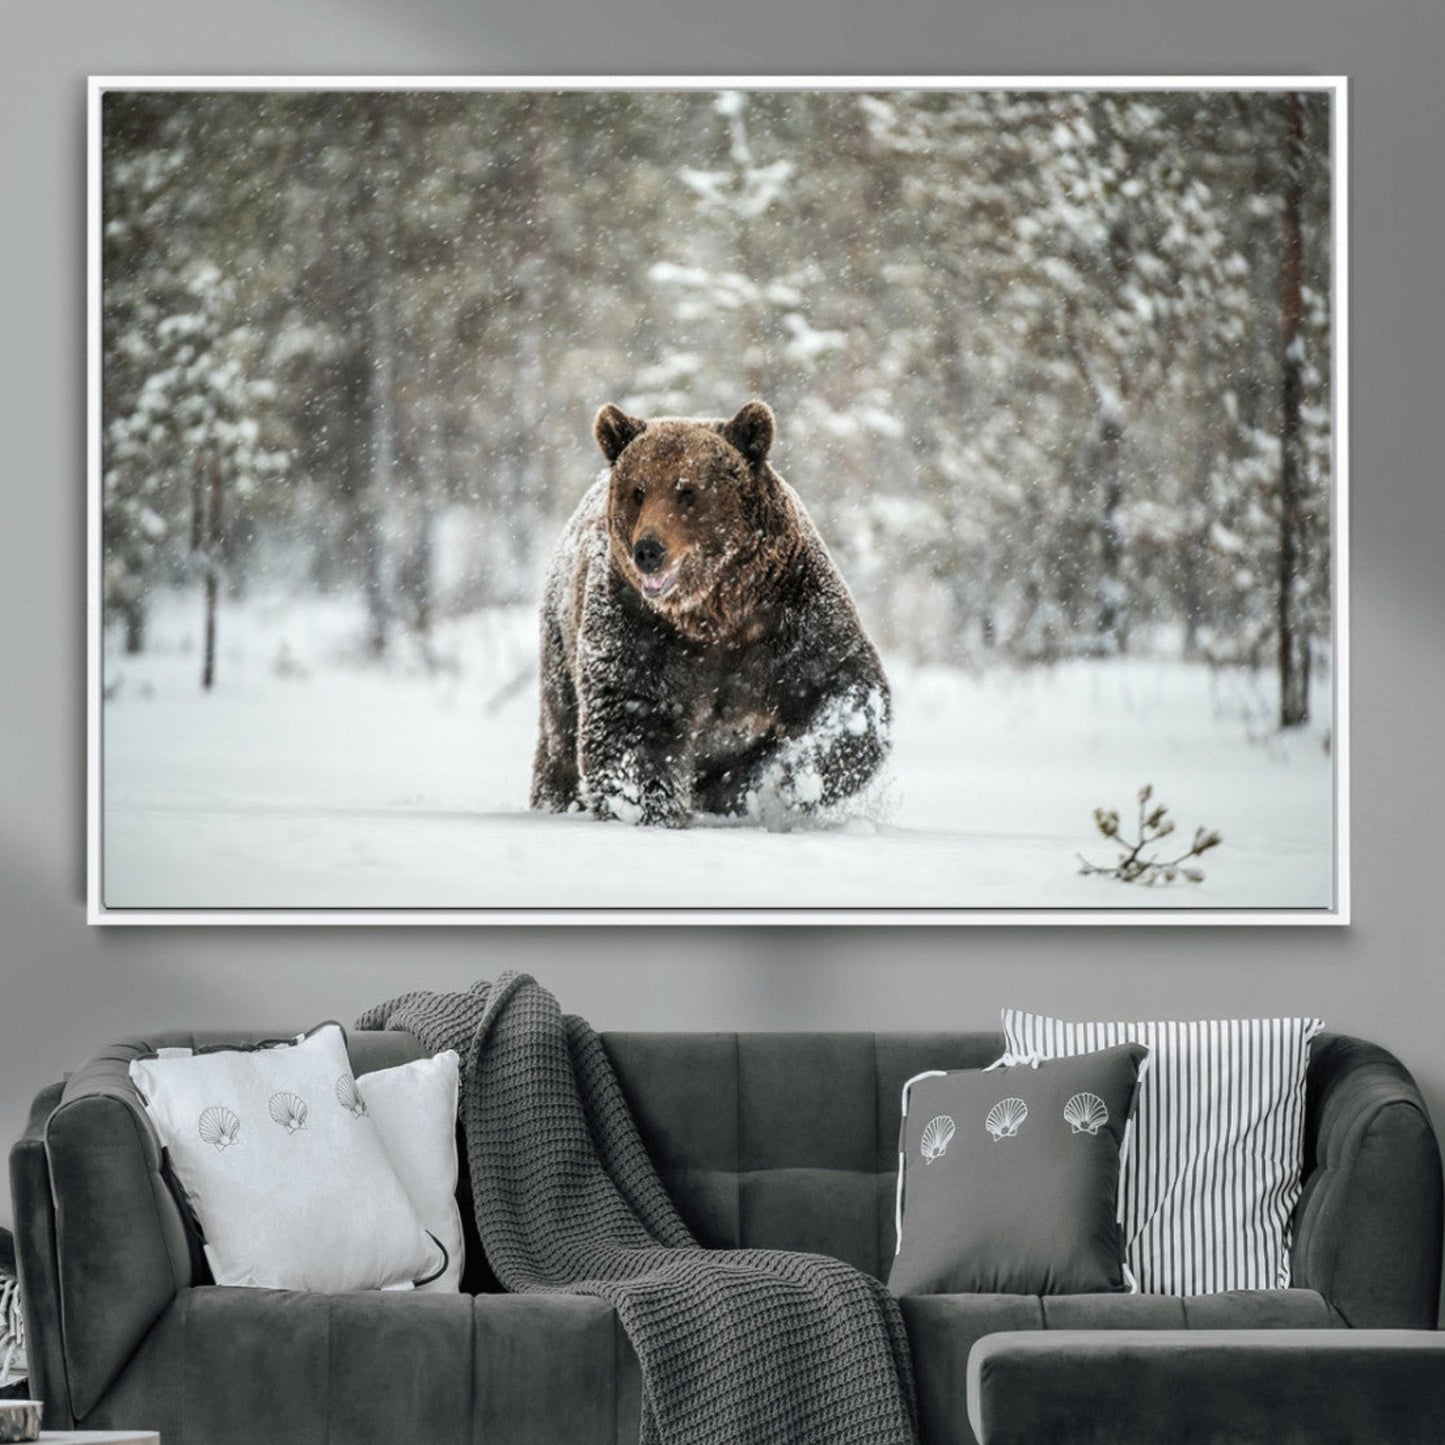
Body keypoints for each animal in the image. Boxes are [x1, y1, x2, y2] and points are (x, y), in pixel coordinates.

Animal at [530, 400, 891, 827]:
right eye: (638, 490)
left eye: (687, 491)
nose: (648, 550)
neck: (715, 611)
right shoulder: (639, 627)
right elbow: (631, 720)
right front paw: (650, 810)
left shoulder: (790, 612)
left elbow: (843, 686)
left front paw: (794, 780)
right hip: (560, 642)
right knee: (560, 736)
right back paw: (557, 799)